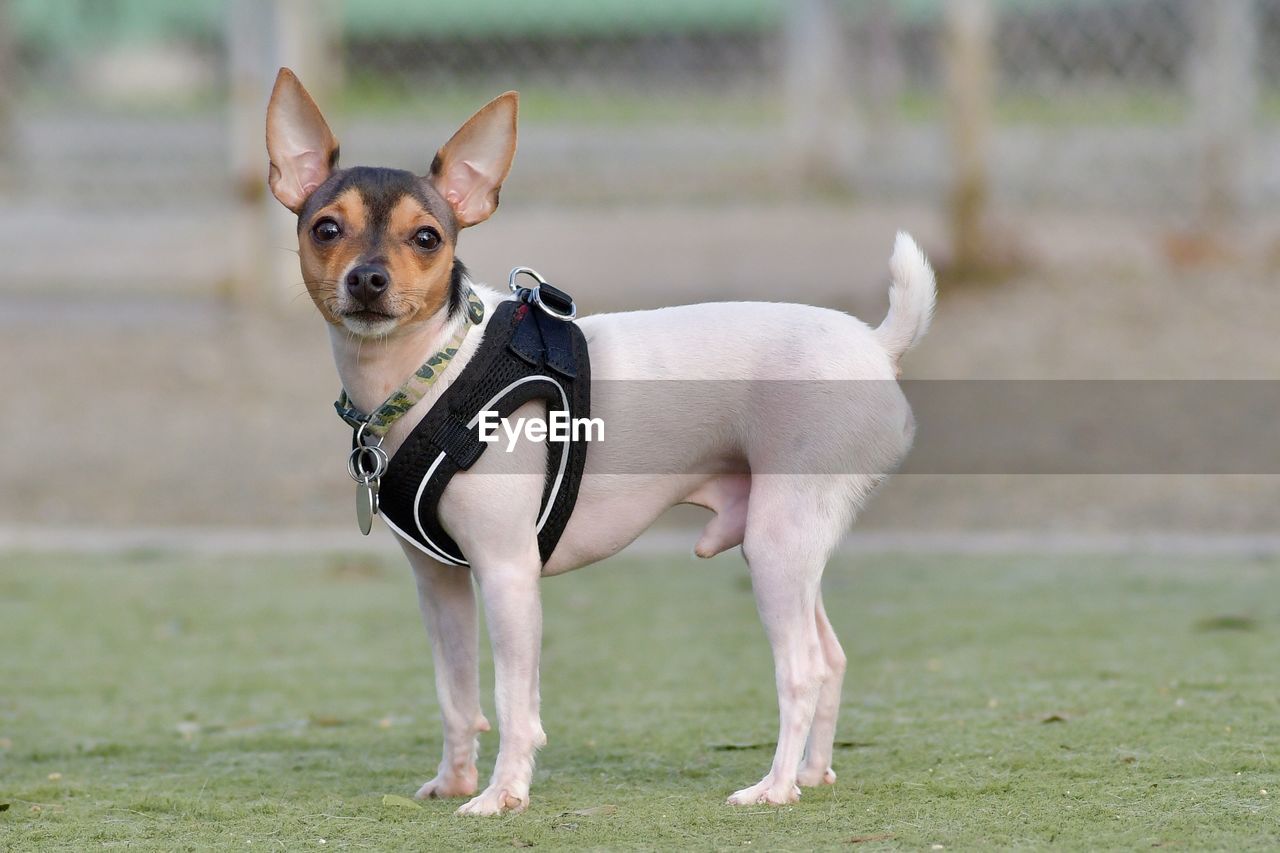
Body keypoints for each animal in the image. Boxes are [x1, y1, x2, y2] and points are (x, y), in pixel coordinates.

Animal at [264, 64, 936, 809]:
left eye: (427, 238)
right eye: (327, 228)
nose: (368, 279)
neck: (433, 369)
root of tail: (877, 344)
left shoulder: (508, 572)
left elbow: (513, 702)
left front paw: (501, 794)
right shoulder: (439, 582)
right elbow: (456, 693)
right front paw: (455, 778)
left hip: (778, 542)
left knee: (803, 669)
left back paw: (776, 785)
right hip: (788, 540)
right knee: (834, 656)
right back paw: (815, 772)